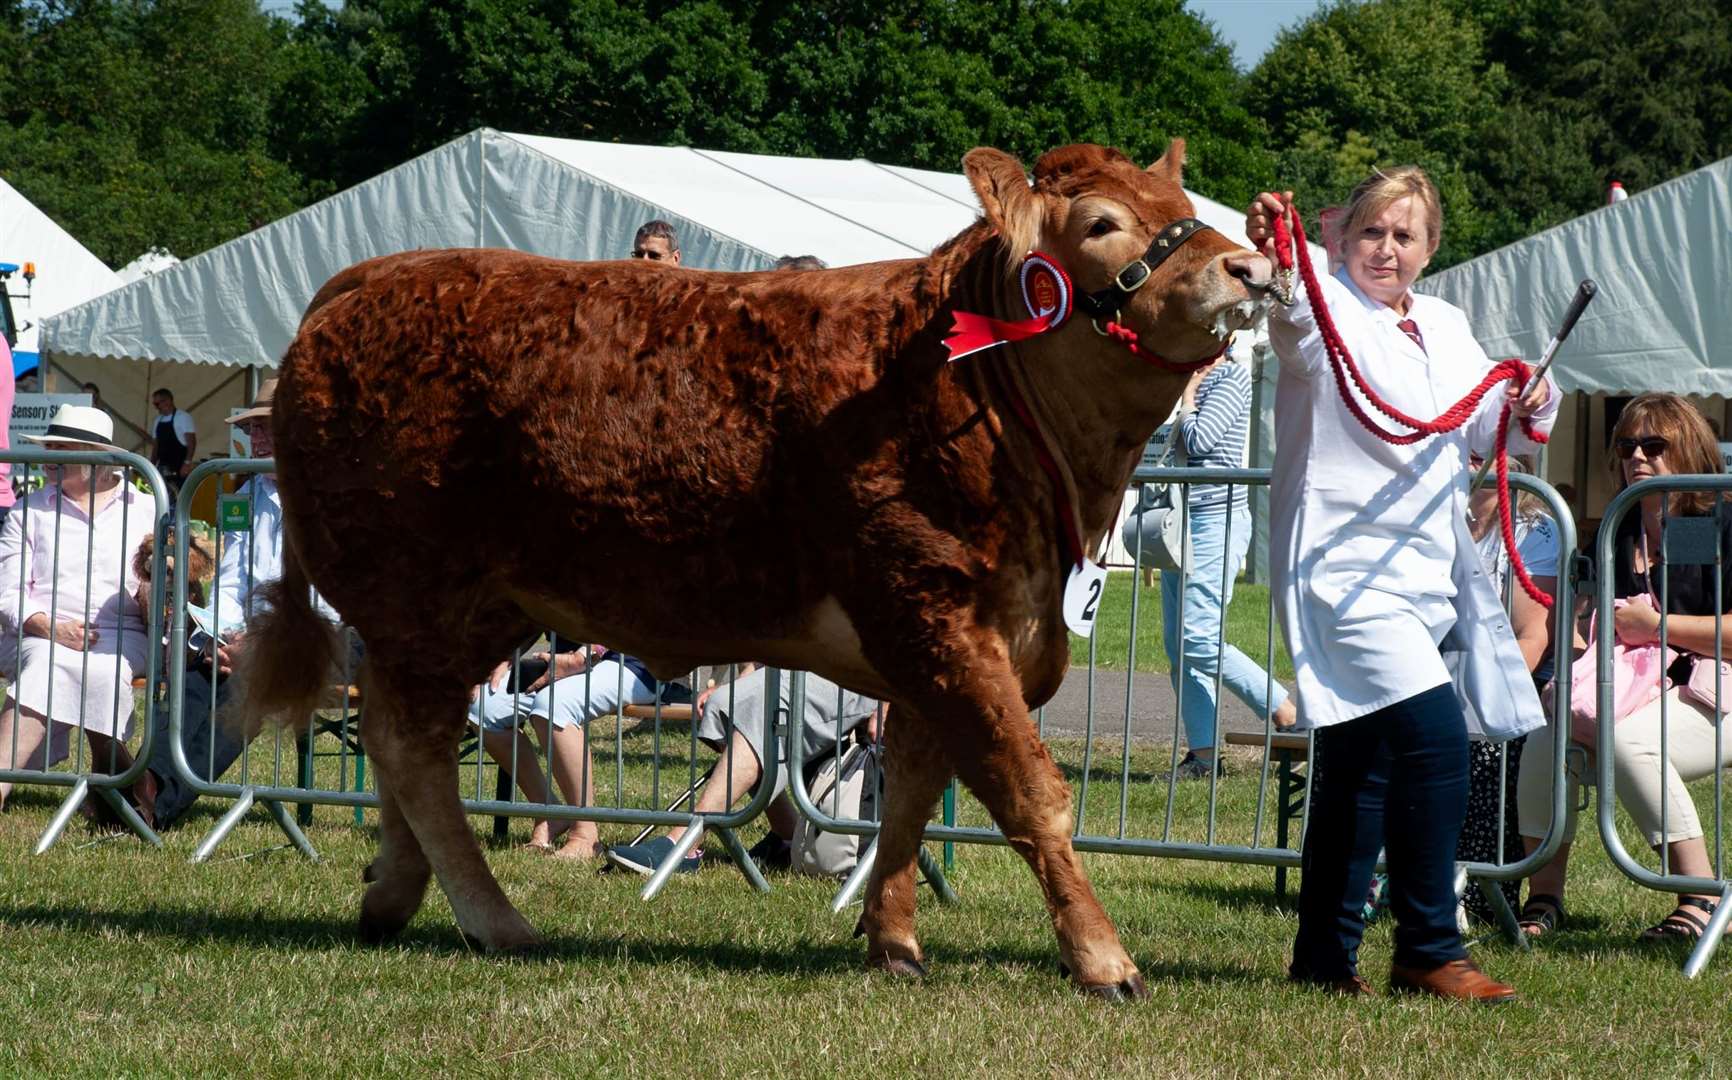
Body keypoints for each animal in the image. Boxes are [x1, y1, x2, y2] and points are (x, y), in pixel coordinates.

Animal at [251, 141, 1274, 996]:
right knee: (412, 745)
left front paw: (893, 942)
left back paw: (394, 892)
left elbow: (907, 798)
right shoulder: (936, 614)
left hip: (471, 610)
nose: (1254, 266)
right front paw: (1103, 959)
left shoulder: (951, 641)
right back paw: (493, 918)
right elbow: (1031, 795)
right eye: (1101, 224)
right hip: (418, 592)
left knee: (403, 740)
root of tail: (367, 279)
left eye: (1184, 205)